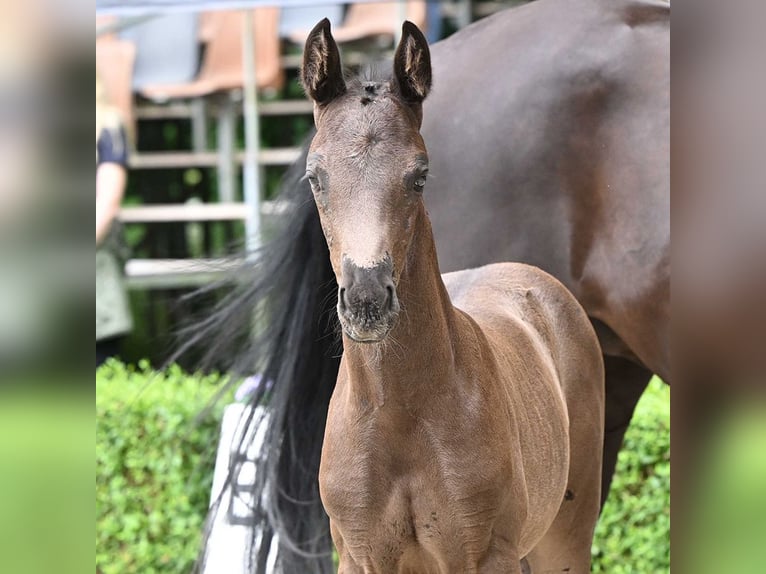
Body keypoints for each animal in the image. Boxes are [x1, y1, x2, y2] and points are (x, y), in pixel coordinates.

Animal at [194, 1, 672, 572]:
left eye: (419, 176)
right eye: (315, 178)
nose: (367, 299)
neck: (400, 416)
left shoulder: (484, 557)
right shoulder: (361, 557)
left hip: (564, 536)